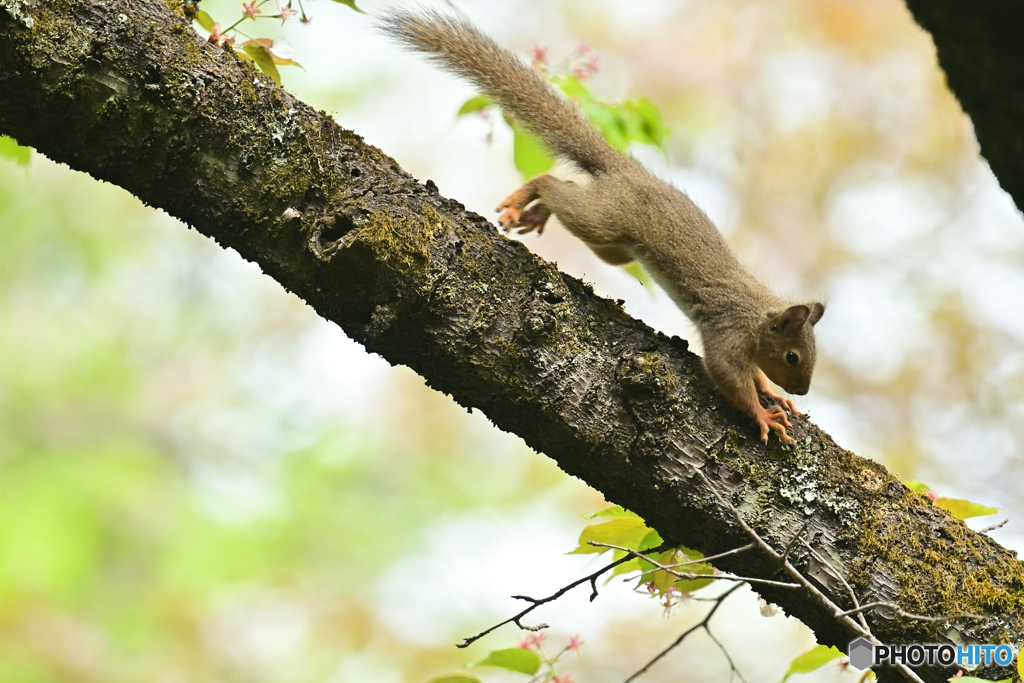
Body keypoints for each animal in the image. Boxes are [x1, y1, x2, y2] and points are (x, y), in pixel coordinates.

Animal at [380, 14, 827, 448]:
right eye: (793, 356)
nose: (803, 391)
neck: (757, 314)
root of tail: (624, 169)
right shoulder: (727, 332)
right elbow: (727, 376)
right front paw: (763, 415)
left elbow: (752, 376)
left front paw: (771, 391)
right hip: (604, 220)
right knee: (553, 184)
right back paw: (524, 198)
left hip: (614, 247)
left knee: (568, 191)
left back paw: (535, 214)